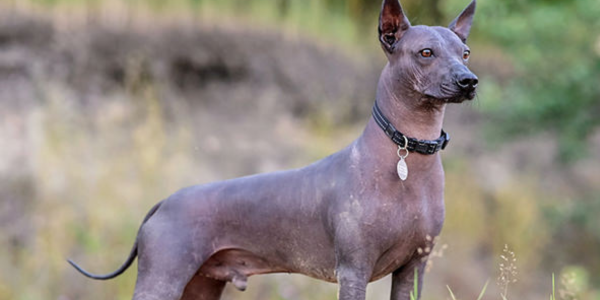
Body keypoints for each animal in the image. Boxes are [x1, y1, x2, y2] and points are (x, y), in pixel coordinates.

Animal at [69, 0, 478, 300]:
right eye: (425, 52)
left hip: (200, 286)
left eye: (465, 52)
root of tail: (164, 202)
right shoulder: (354, 270)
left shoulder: (414, 268)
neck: (408, 151)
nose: (469, 81)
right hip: (162, 280)